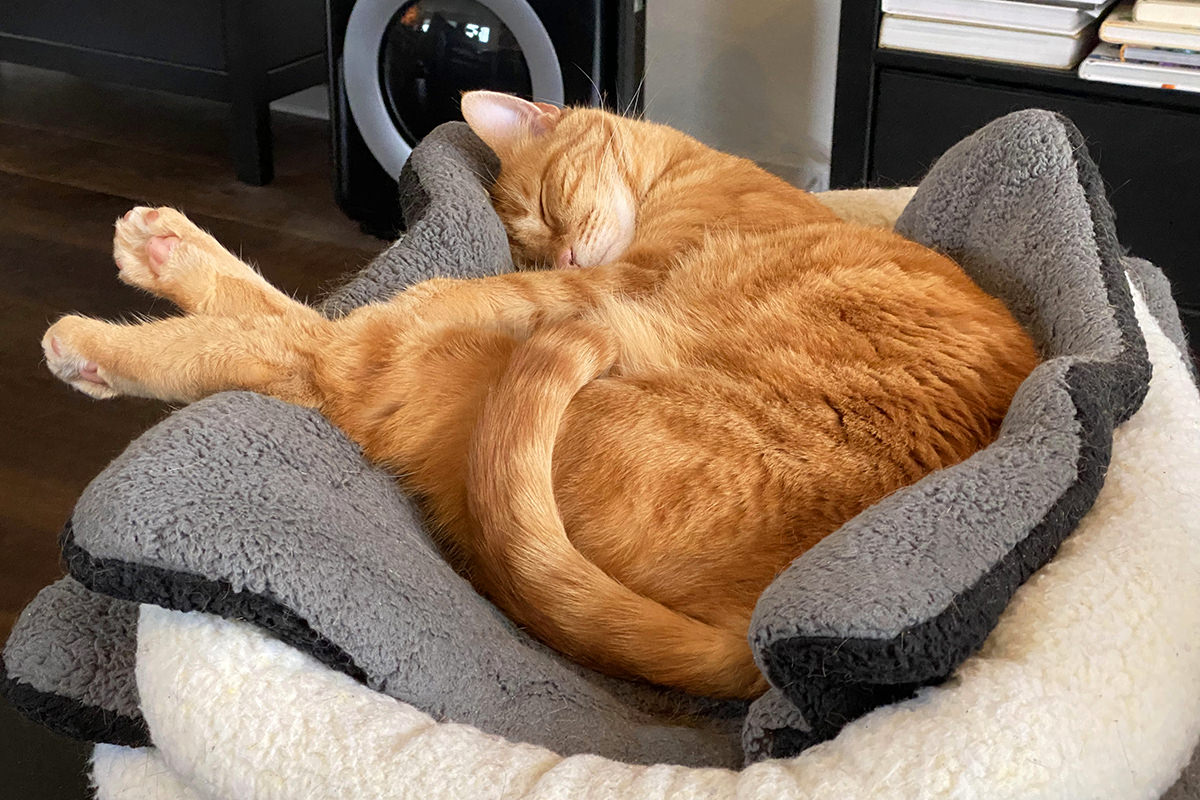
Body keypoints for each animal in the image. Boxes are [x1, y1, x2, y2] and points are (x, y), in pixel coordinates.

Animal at [42, 90, 1036, 695]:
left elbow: (393, 306)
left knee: (324, 346)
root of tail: (759, 634)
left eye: (550, 206)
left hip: (455, 366)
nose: (555, 254)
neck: (691, 169)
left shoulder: (598, 285)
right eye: (523, 231)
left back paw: (102, 331)